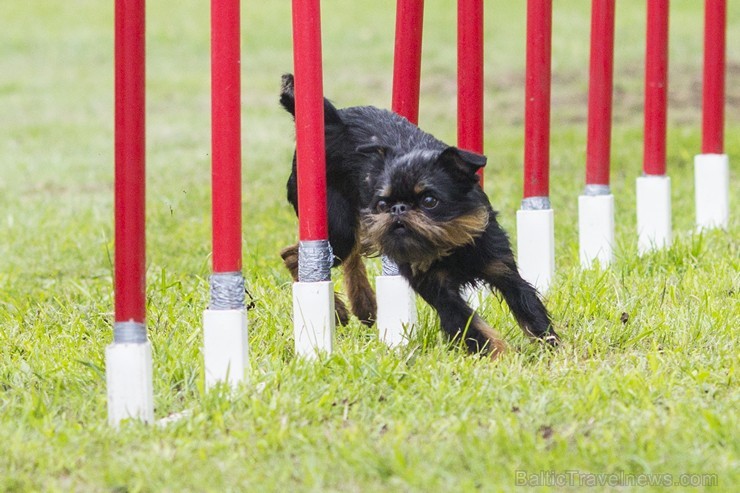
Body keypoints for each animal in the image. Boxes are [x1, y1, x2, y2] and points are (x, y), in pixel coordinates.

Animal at [280, 73, 556, 356]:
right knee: (295, 256)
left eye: (429, 201)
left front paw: (551, 347)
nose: (398, 208)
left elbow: (529, 309)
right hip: (338, 224)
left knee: (350, 252)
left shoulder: (502, 270)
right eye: (383, 203)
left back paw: (364, 304)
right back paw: (338, 309)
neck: (449, 243)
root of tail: (333, 120)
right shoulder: (439, 291)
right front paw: (500, 356)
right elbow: (472, 325)